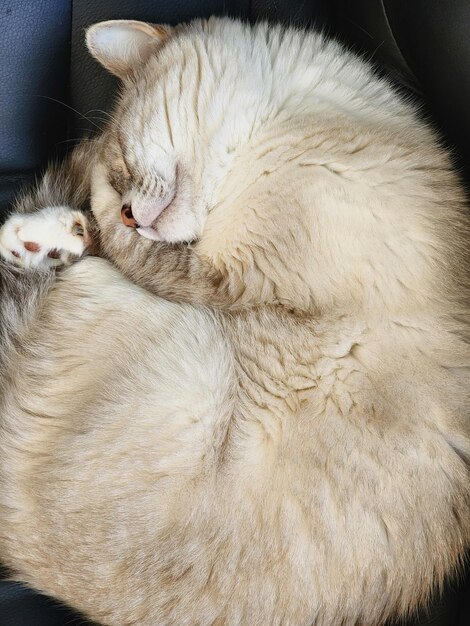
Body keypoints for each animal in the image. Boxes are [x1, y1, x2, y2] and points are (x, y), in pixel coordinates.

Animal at [0, 18, 470, 624]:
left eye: (123, 160)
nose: (129, 212)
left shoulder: (231, 281)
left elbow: (134, 247)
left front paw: (93, 211)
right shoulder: (229, 278)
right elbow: (131, 243)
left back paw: (40, 239)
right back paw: (38, 240)